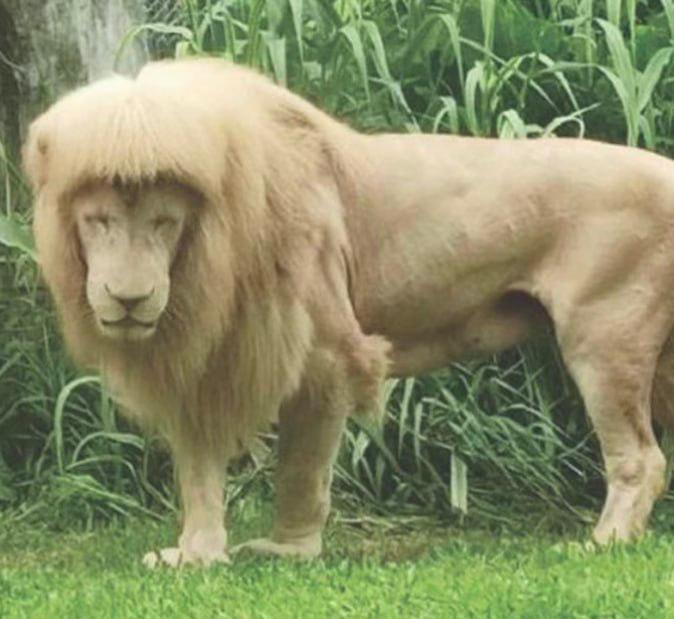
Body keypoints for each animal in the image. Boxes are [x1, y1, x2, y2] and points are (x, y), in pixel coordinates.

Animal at [24, 57, 674, 566]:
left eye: (164, 221)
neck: (205, 262)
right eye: (98, 221)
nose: (128, 298)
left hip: (604, 336)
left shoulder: (327, 353)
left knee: (642, 457)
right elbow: (199, 472)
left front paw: (289, 551)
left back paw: (604, 542)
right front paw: (196, 554)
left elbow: (301, 466)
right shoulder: (203, 362)